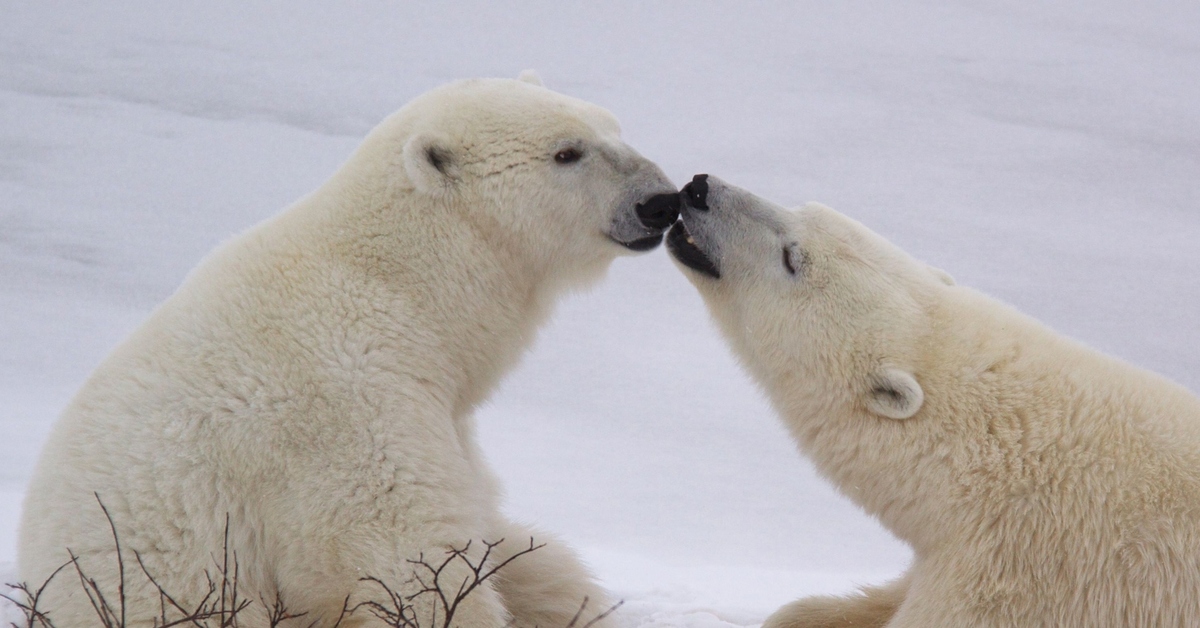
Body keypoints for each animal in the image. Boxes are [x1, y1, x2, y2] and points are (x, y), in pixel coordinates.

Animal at [18, 75, 681, 628]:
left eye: (612, 126)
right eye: (567, 152)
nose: (661, 201)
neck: (402, 285)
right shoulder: (347, 406)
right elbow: (405, 555)